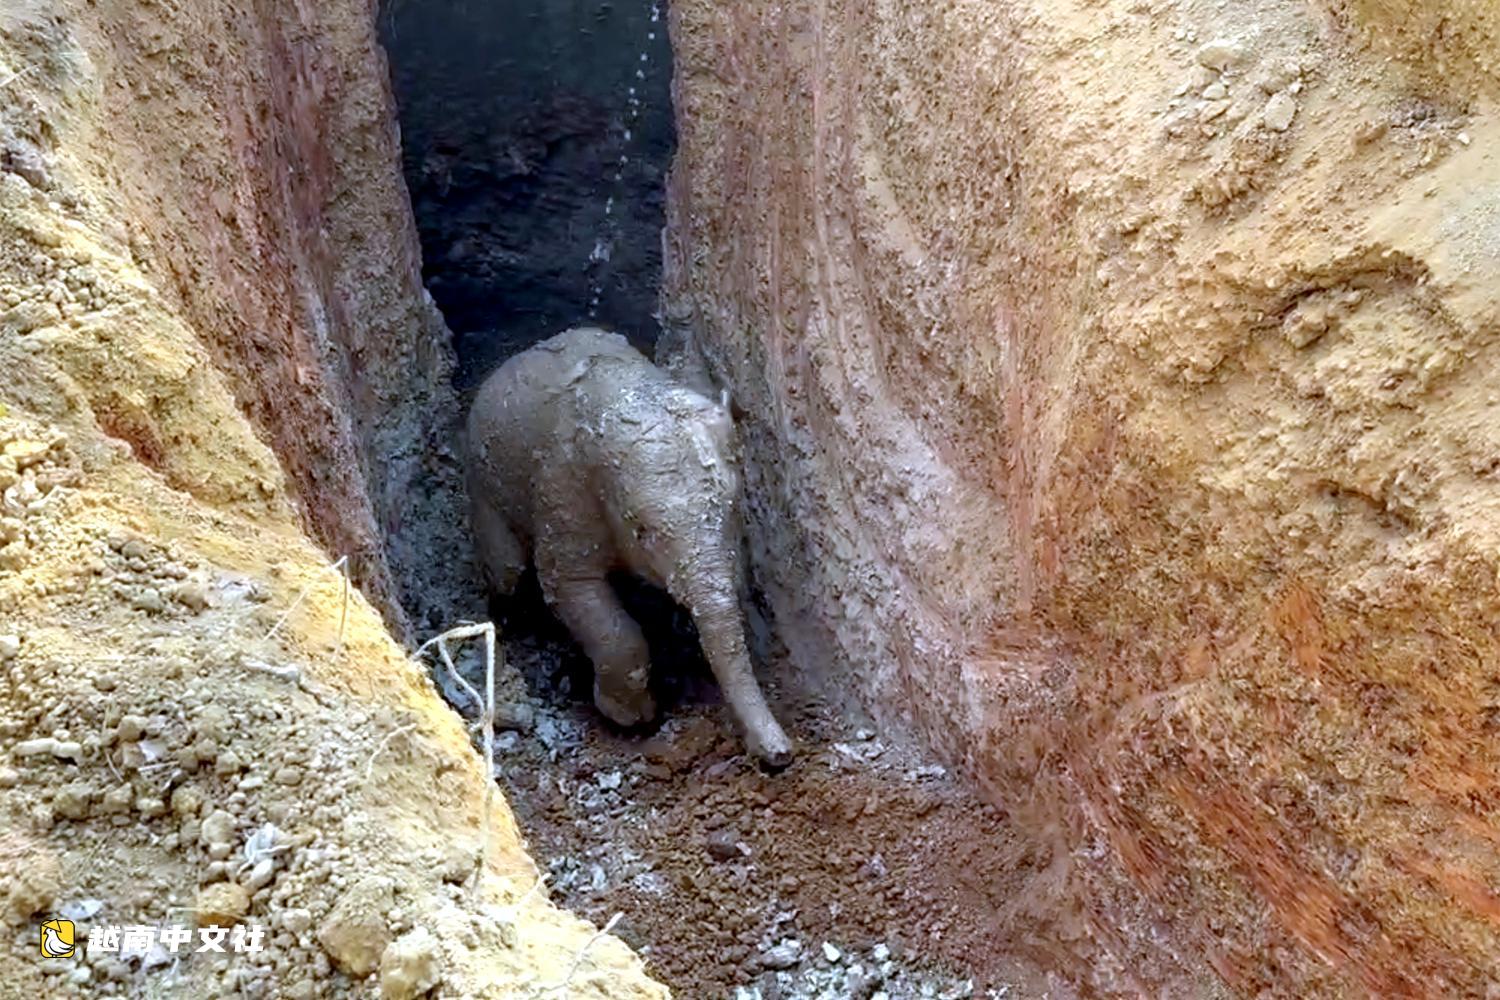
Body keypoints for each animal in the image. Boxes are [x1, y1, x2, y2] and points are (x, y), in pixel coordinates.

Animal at [465, 326, 794, 768]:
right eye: (641, 530)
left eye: (731, 507)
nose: (779, 755)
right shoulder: (563, 492)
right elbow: (575, 592)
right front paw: (633, 717)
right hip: (484, 486)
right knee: (507, 572)